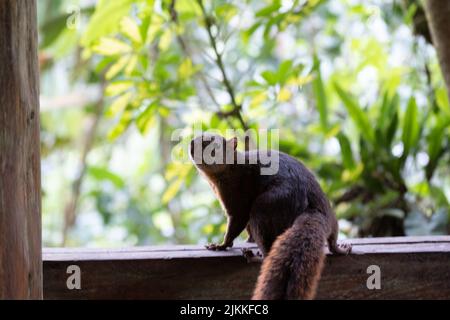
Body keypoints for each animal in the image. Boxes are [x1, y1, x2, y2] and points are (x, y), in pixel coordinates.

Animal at [190, 134, 352, 298]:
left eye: (213, 145)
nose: (190, 143)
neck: (233, 168)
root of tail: (311, 209)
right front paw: (247, 240)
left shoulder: (238, 201)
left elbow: (235, 226)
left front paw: (220, 245)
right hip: (332, 218)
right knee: (332, 243)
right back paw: (343, 249)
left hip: (260, 211)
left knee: (267, 254)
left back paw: (253, 256)